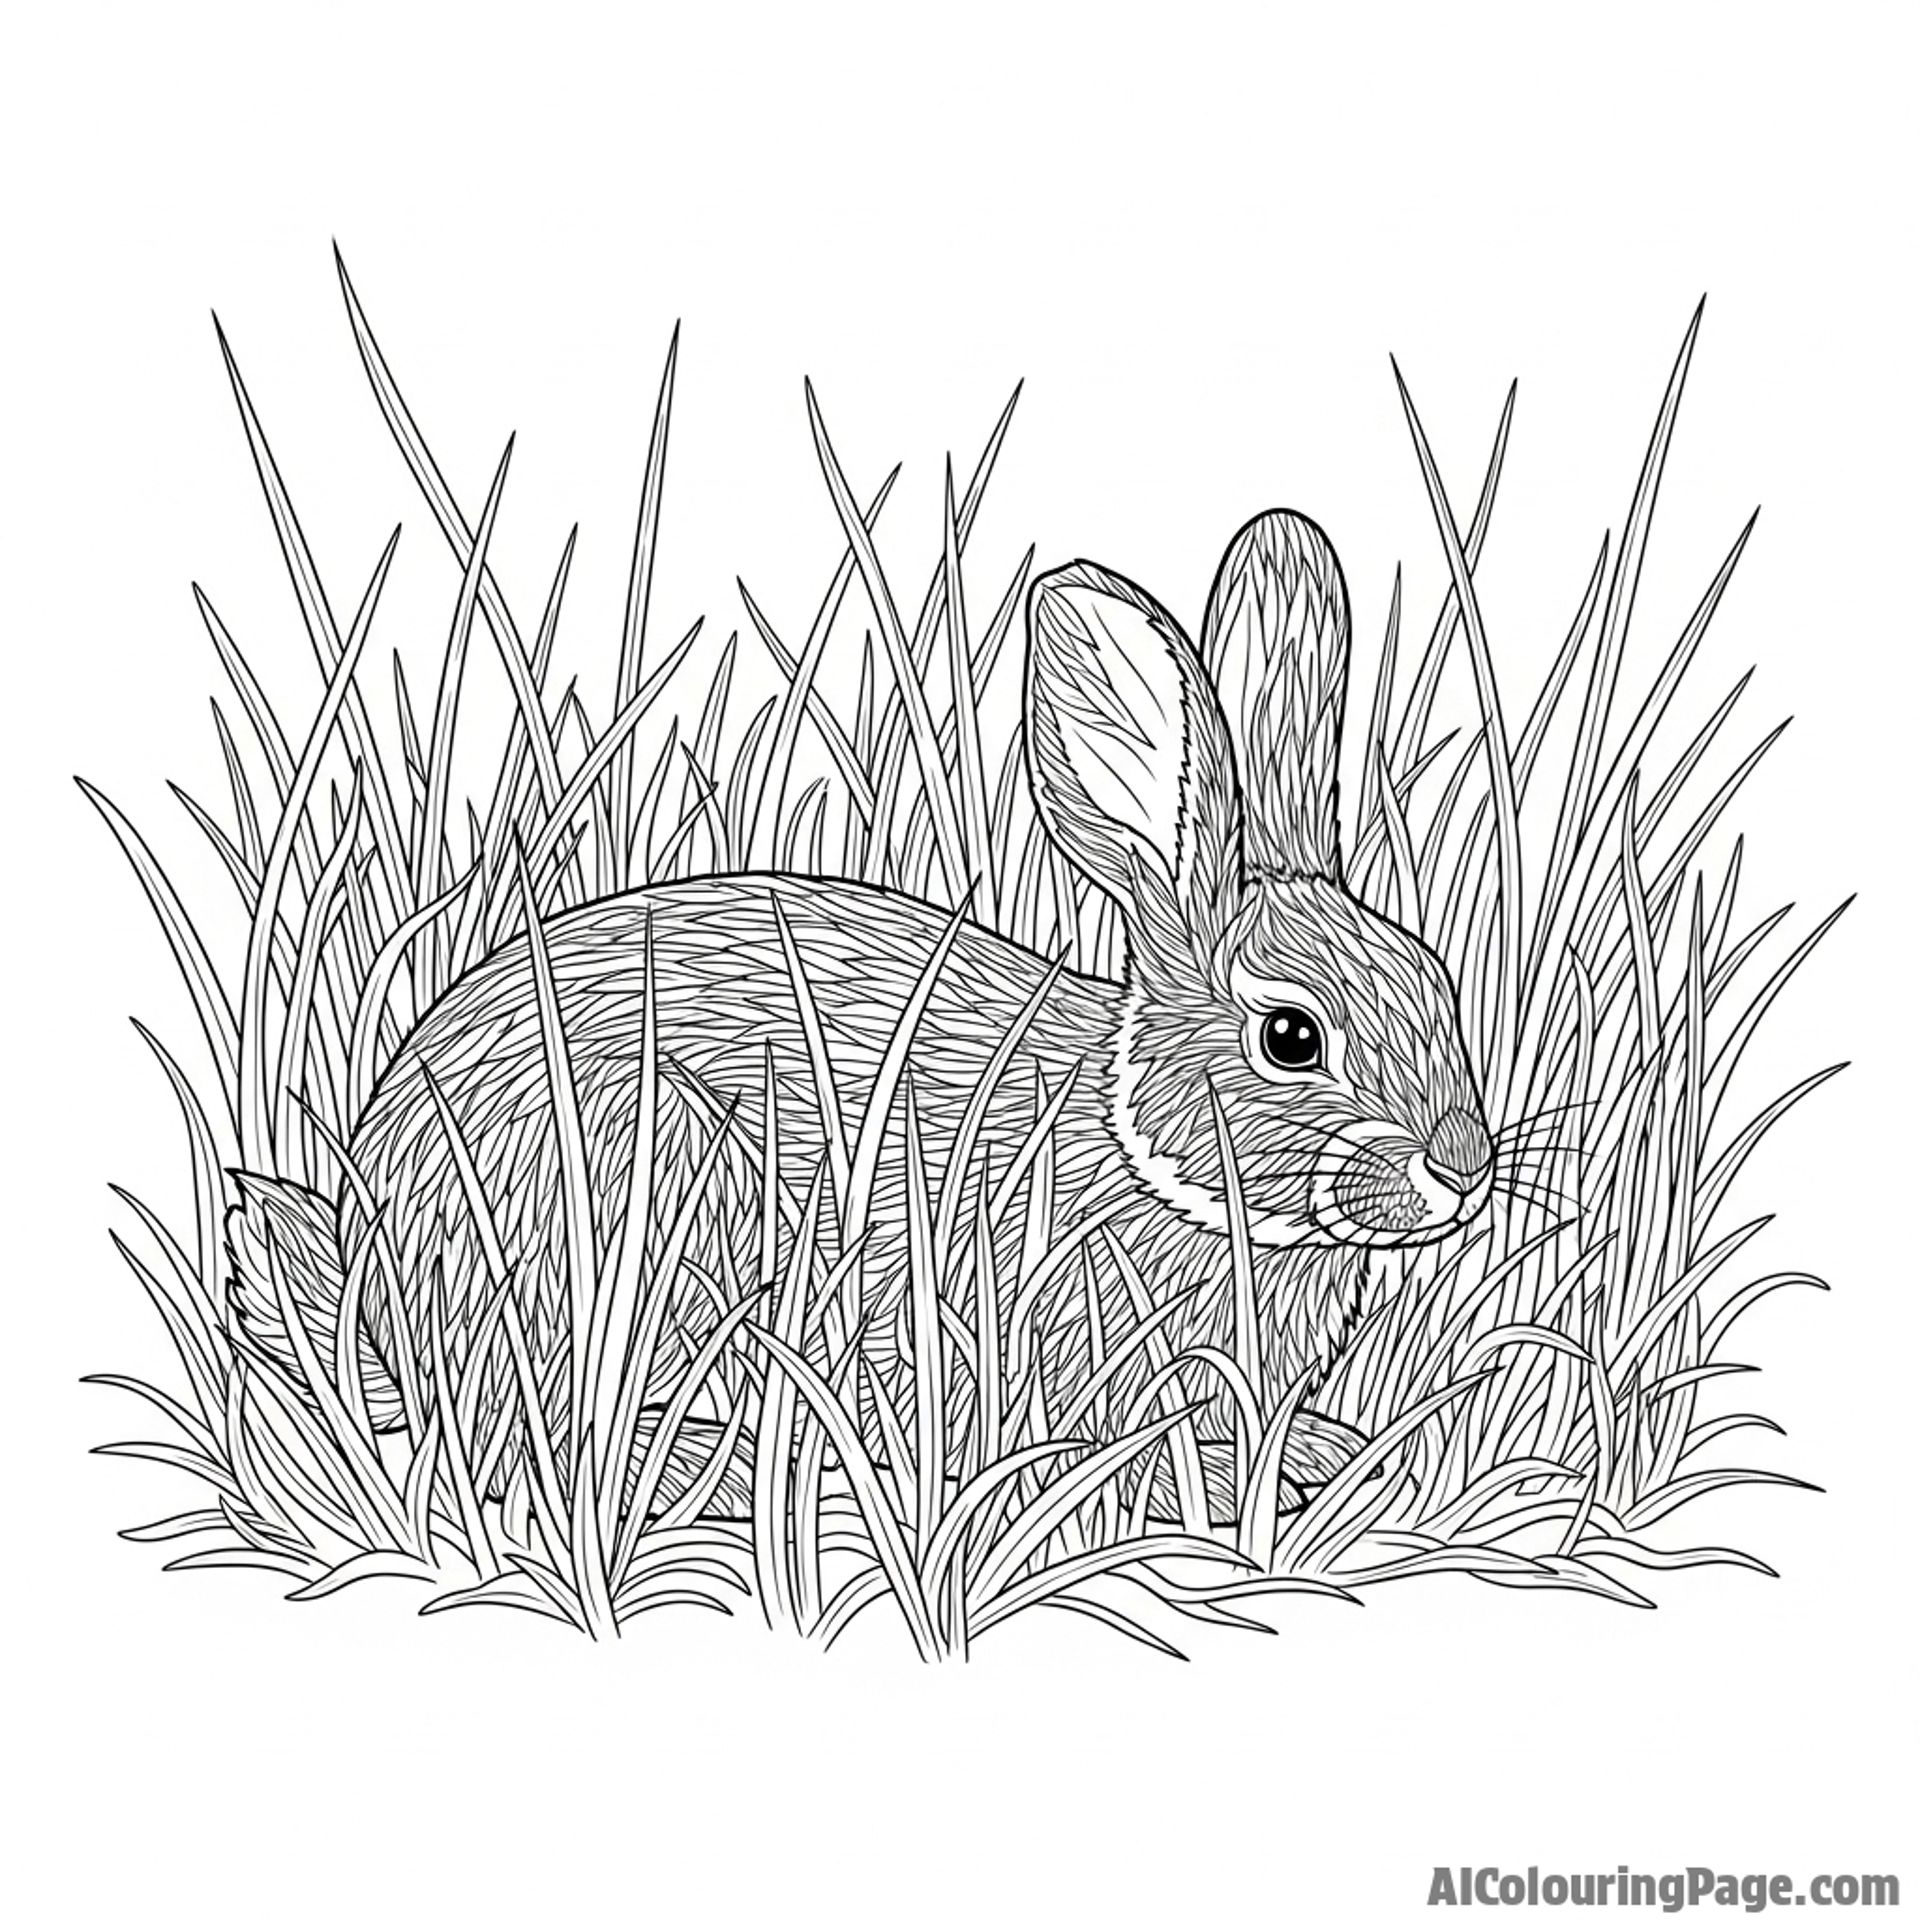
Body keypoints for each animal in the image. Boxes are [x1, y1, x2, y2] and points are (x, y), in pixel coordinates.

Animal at [227, 508, 1494, 1525]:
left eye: (1437, 978)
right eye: (1291, 1038)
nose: (1465, 1168)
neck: (1150, 1157)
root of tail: (380, 1267)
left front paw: (1325, 1451)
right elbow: (1112, 1458)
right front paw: (1251, 1480)